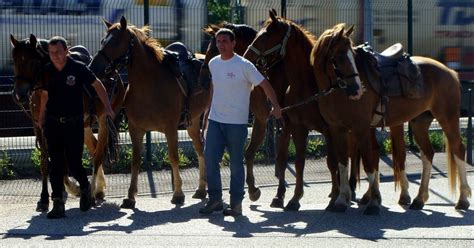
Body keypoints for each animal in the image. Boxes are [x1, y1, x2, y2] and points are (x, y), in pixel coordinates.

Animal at [90, 16, 208, 208]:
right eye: (102, 41)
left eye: (116, 42)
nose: (94, 67)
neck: (149, 85)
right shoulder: (135, 129)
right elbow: (136, 161)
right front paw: (130, 196)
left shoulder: (170, 129)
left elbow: (173, 157)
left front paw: (178, 193)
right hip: (193, 122)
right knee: (200, 150)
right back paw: (201, 189)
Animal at [312, 23, 470, 210]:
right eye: (340, 57)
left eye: (351, 56)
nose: (358, 90)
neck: (336, 92)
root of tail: (450, 71)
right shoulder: (337, 129)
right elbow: (342, 163)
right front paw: (342, 200)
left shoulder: (360, 127)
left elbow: (368, 162)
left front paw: (373, 201)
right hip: (420, 123)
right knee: (427, 153)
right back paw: (419, 198)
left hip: (448, 117)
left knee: (458, 149)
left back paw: (463, 199)